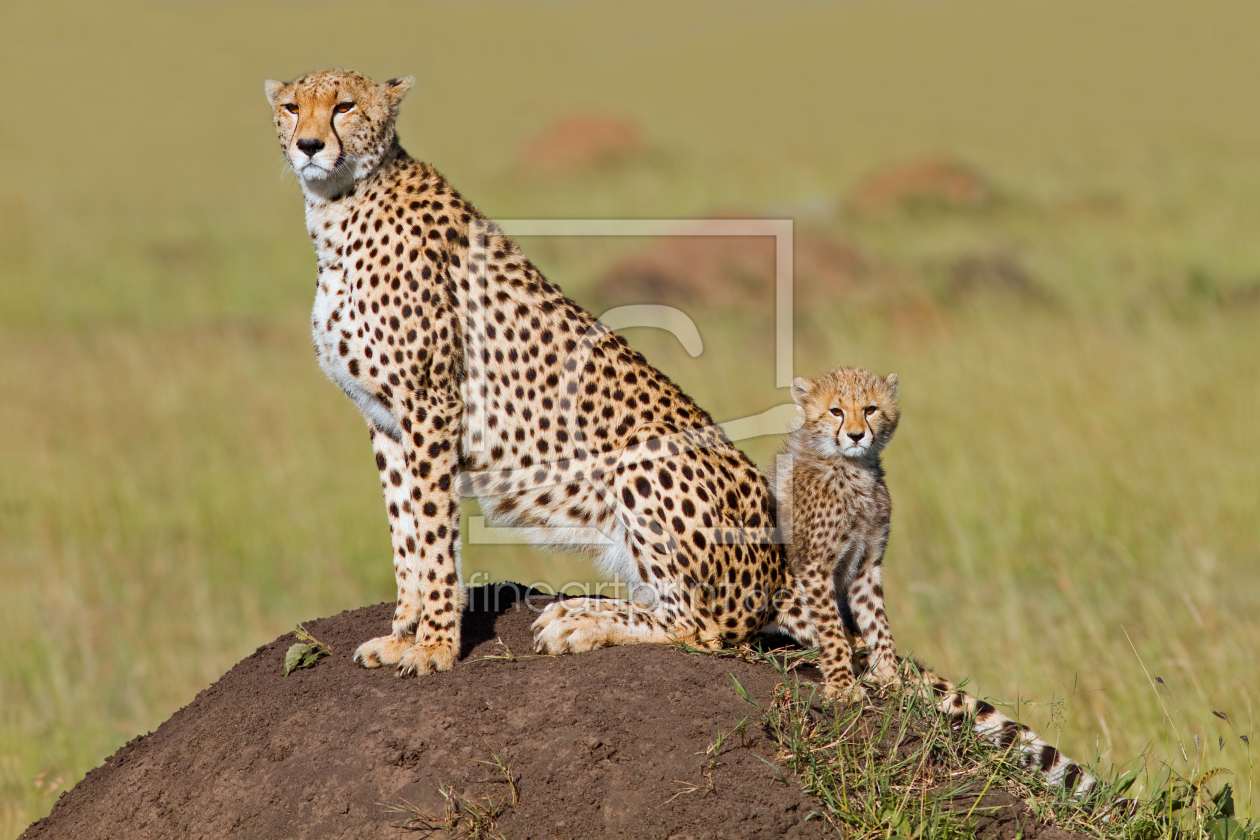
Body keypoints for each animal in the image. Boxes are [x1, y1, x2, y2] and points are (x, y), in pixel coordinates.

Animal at [264, 70, 781, 675]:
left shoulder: (430, 404)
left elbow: (434, 531)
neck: (337, 208)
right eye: (292, 107)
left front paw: (435, 645)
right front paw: (402, 634)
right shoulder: (385, 420)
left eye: (344, 107)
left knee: (705, 628)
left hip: (645, 457)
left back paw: (580, 621)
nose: (309, 145)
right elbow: (405, 529)